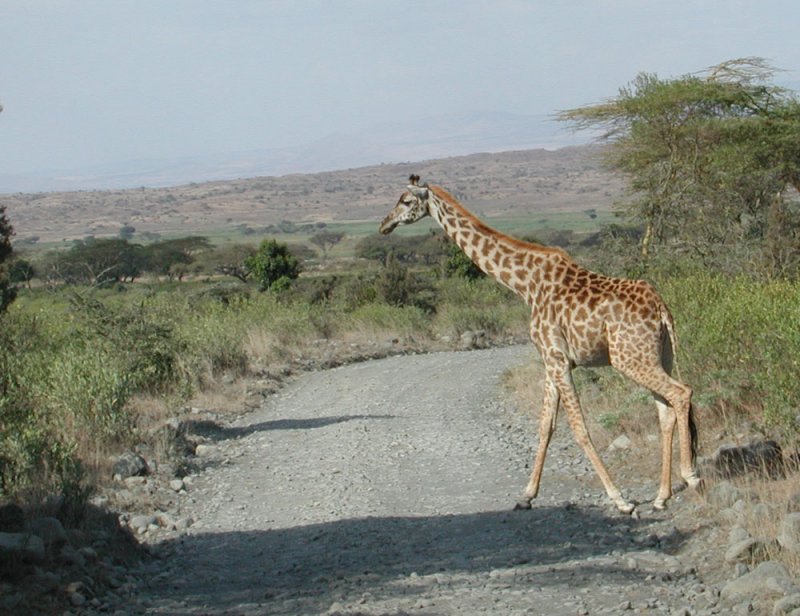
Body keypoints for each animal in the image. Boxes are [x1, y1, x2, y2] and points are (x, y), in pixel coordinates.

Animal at [382, 174, 700, 516]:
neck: (524, 284)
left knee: (681, 393)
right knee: (665, 410)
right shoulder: (551, 360)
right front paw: (526, 496)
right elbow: (546, 426)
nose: (384, 224)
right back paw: (661, 496)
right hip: (658, 356)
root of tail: (662, 309)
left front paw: (620, 500)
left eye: (405, 201)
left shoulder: (557, 358)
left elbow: (579, 427)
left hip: (630, 358)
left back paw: (691, 476)